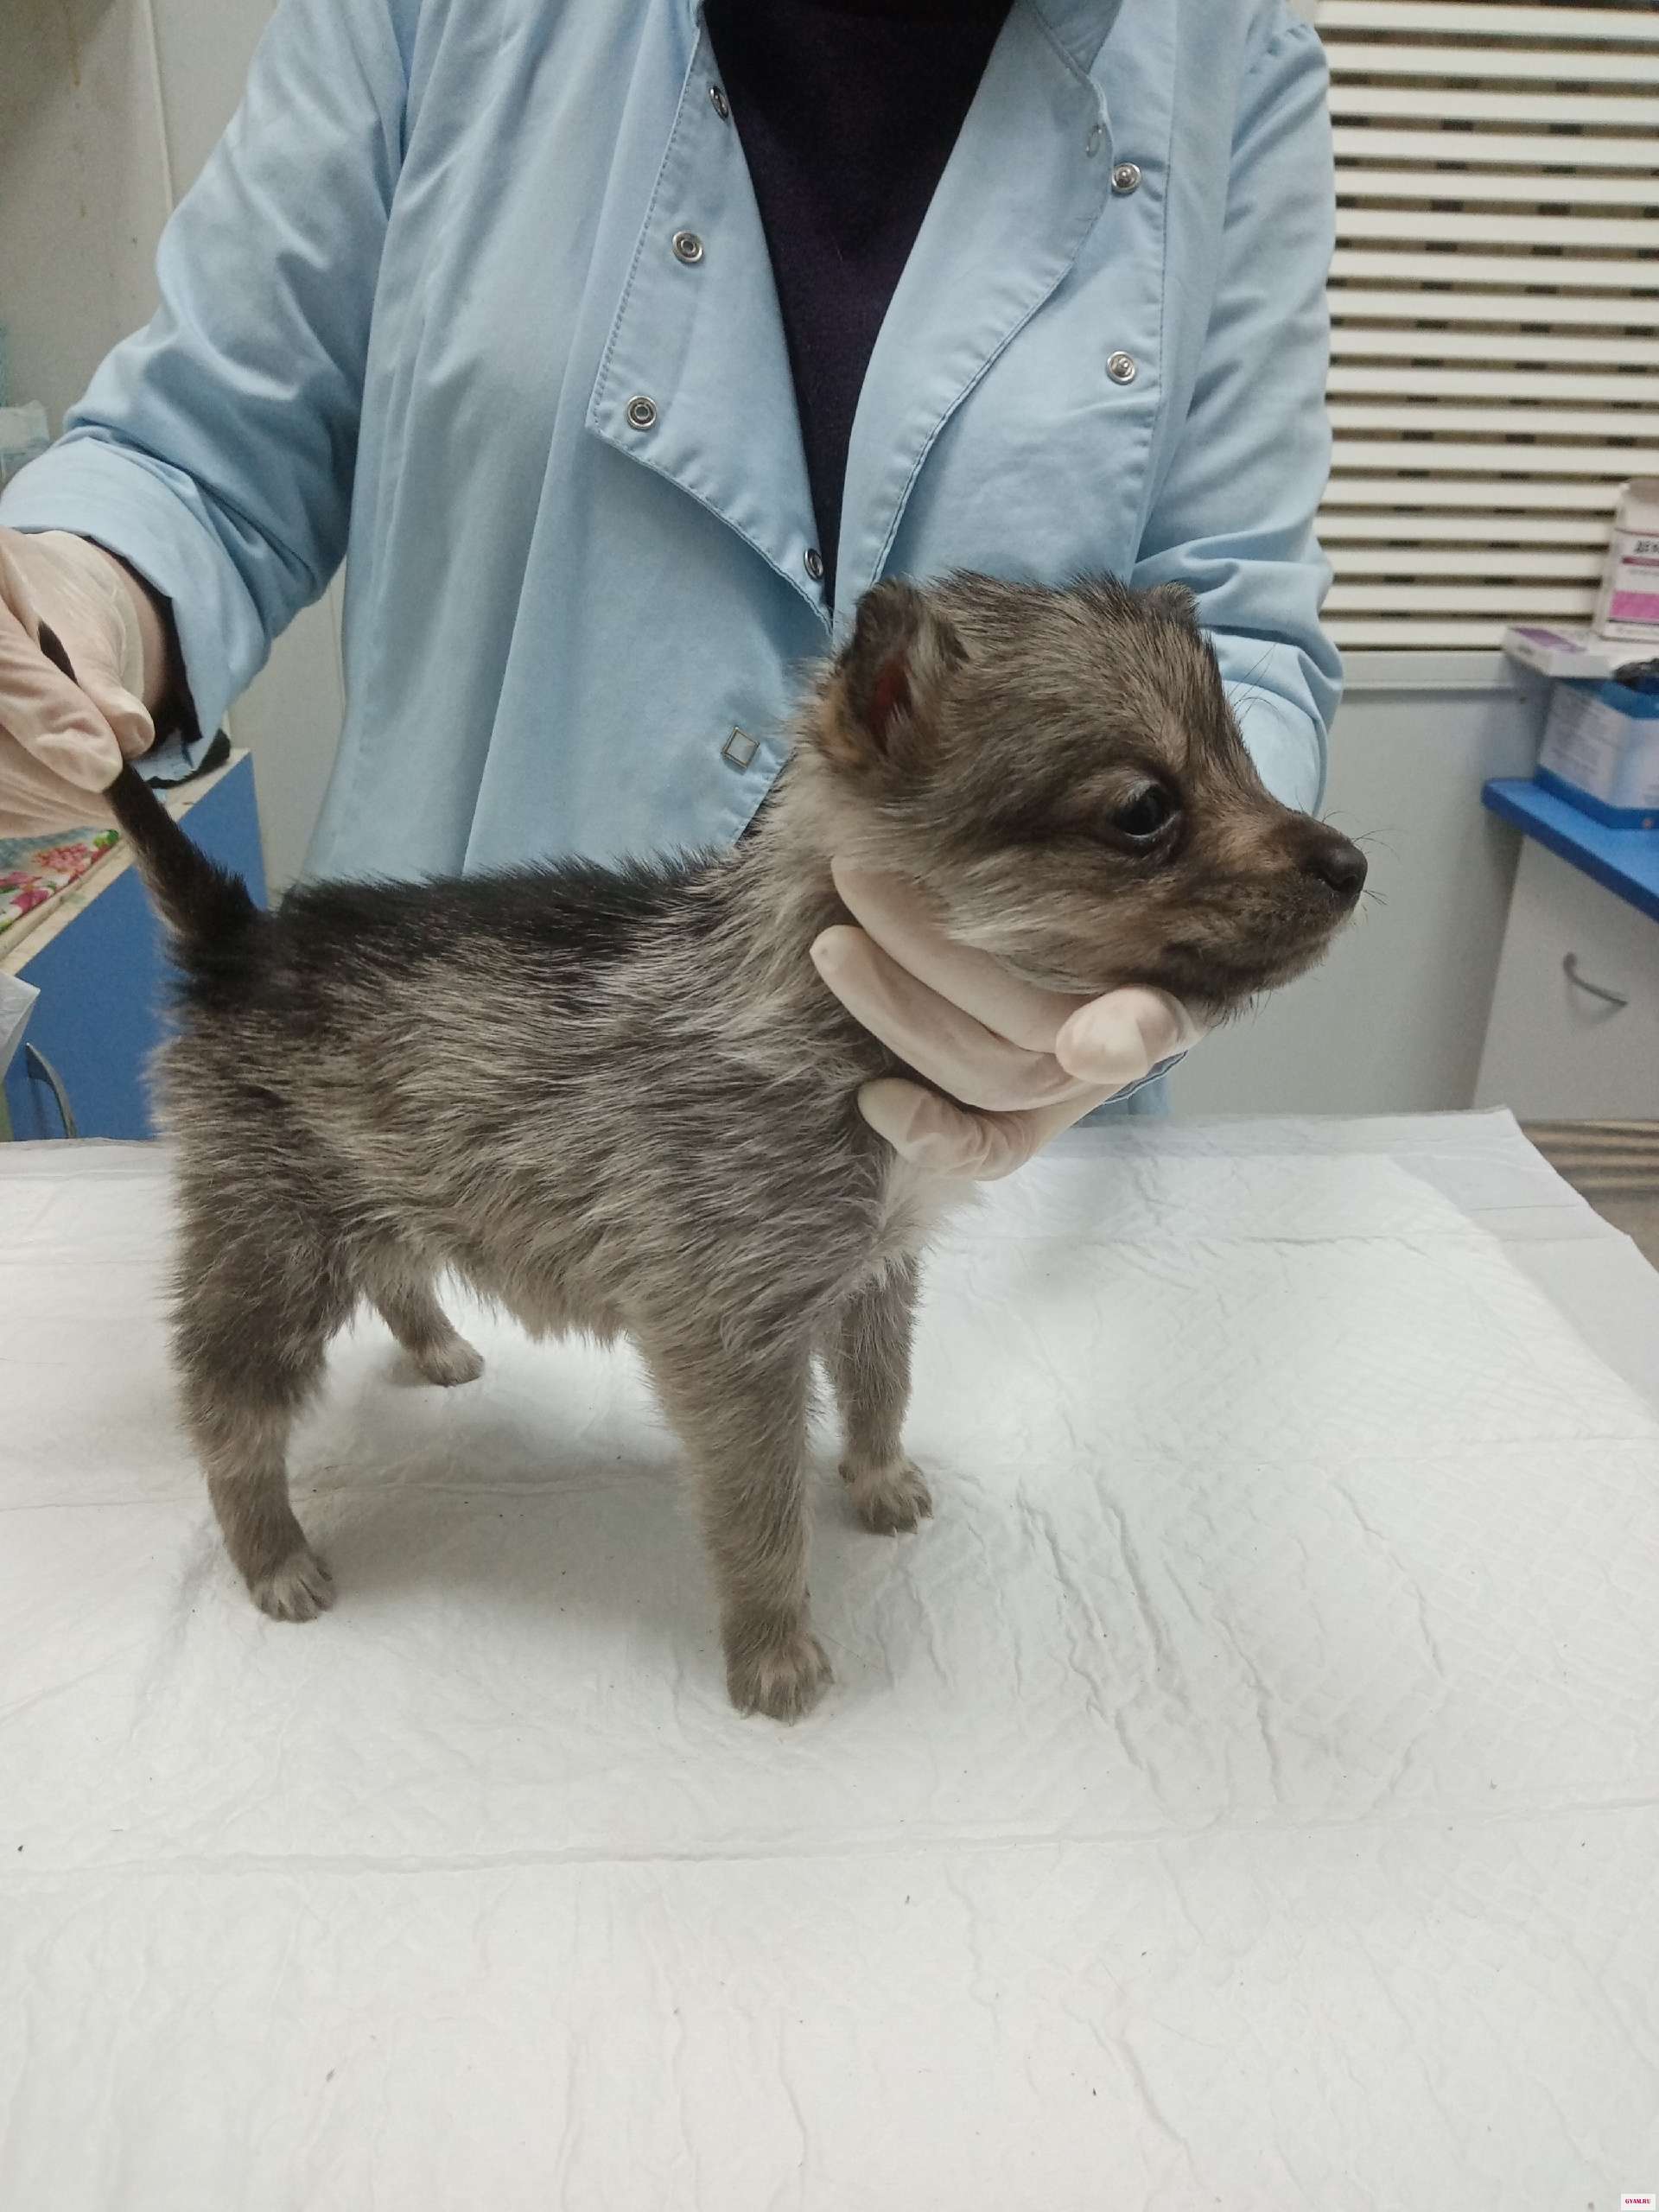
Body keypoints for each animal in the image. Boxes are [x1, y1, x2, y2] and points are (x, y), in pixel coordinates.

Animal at [104, 574, 1365, 1721]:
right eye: (1146, 809)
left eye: (1243, 760)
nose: (1353, 866)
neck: (821, 1009)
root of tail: (237, 940)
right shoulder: (733, 1341)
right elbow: (759, 1510)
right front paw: (775, 1654)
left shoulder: (877, 1268)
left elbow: (883, 1384)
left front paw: (879, 1480)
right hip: (272, 1237)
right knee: (227, 1407)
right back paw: (272, 1555)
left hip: (371, 1189)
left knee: (394, 1263)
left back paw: (439, 1348)